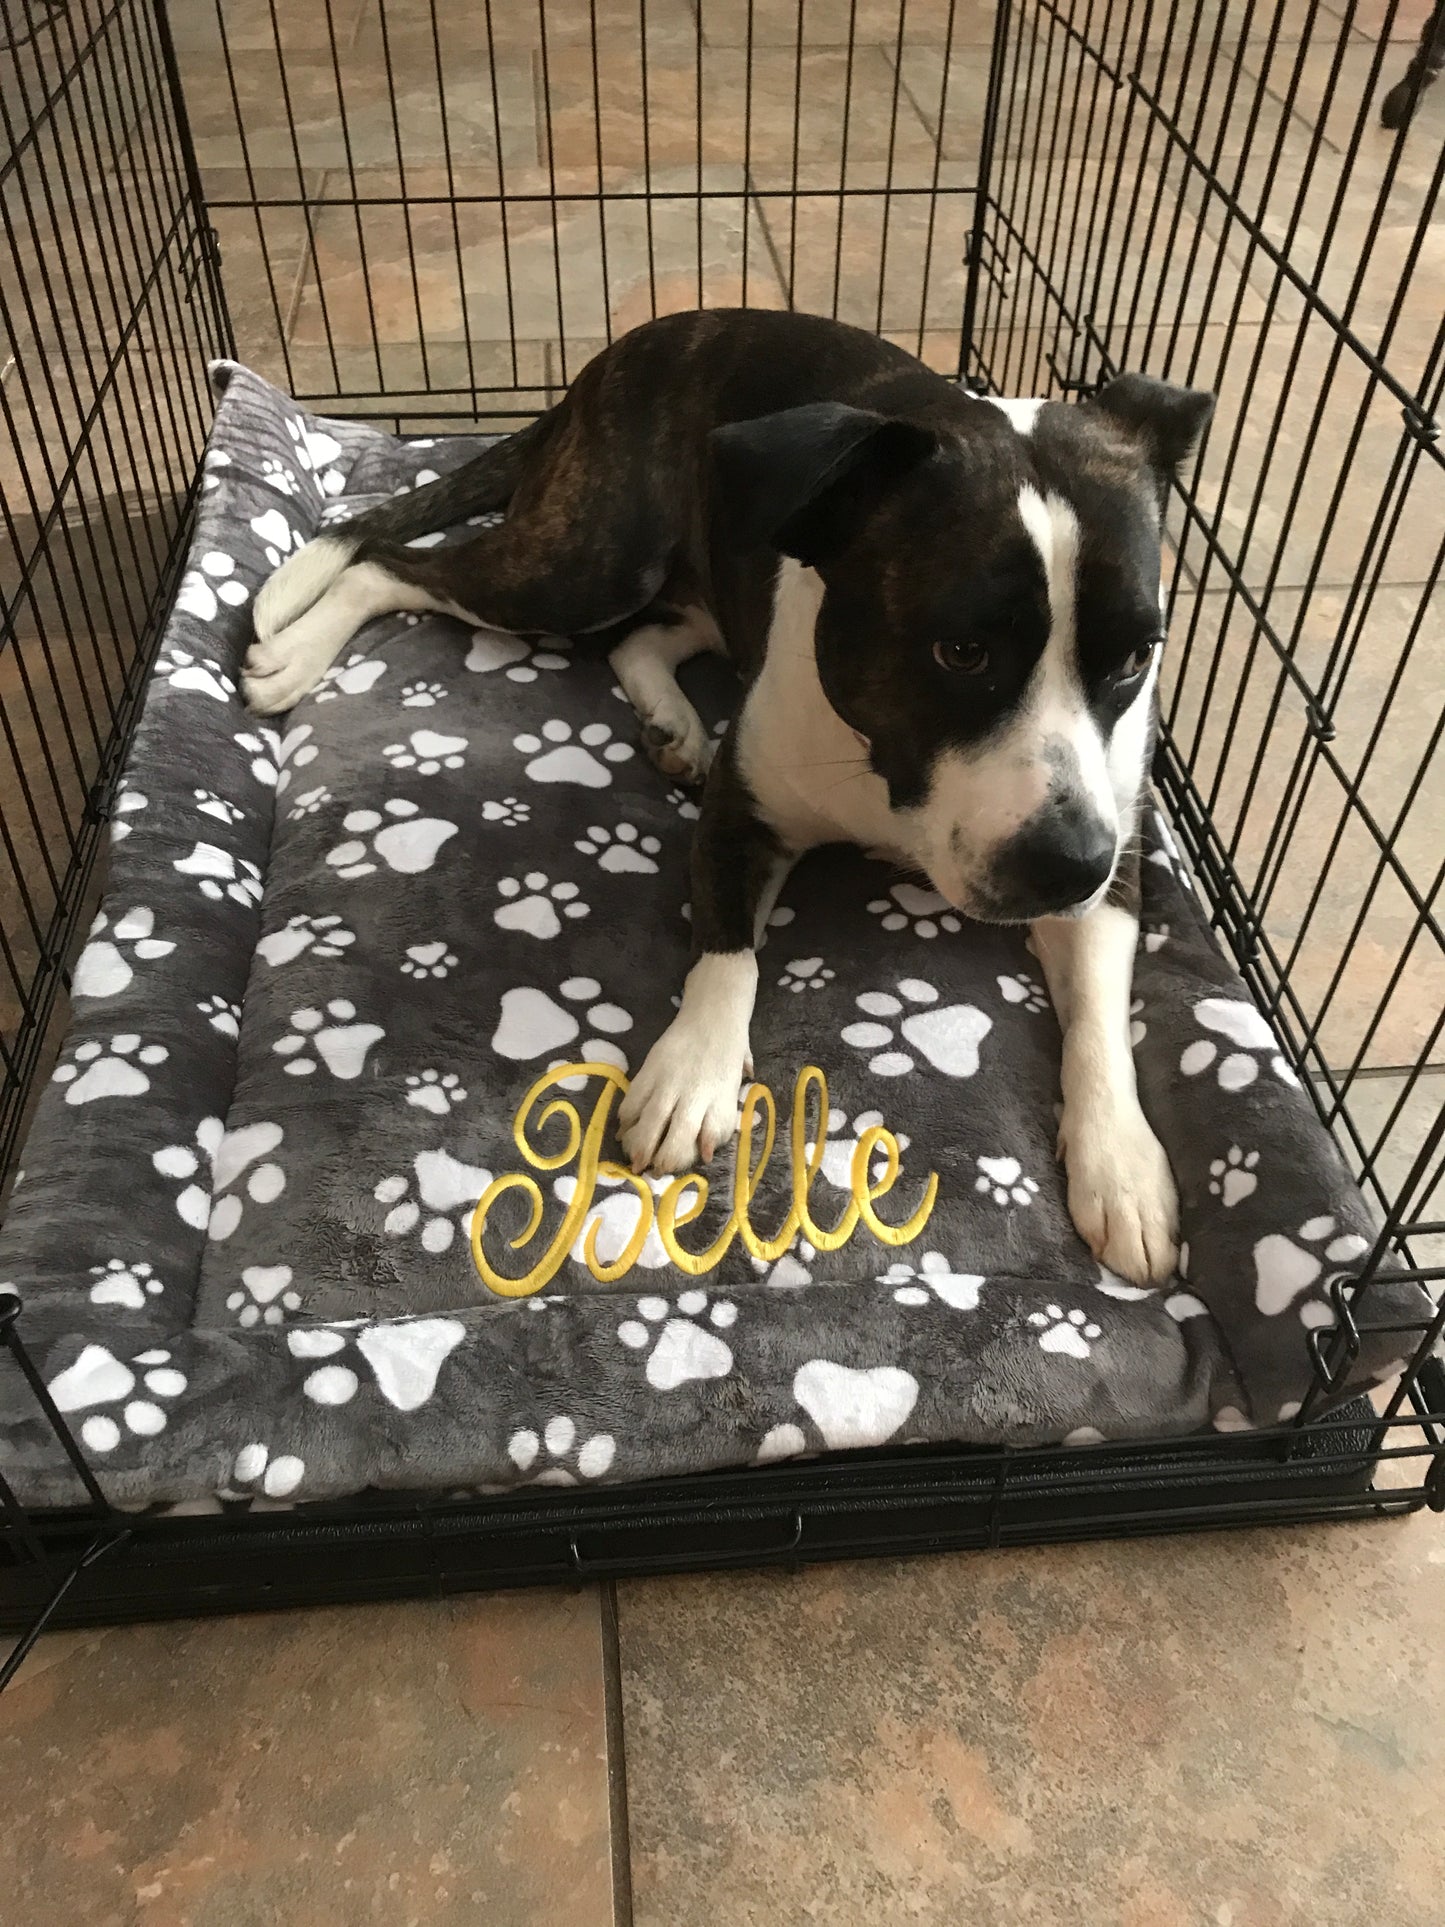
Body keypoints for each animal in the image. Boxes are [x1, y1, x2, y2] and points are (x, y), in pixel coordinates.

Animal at [246, 308, 1209, 1287]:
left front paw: (1122, 1164)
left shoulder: (1113, 867)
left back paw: (673, 721)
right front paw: (691, 1074)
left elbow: (1100, 1019)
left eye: (1137, 655)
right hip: (587, 562)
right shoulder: (740, 819)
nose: (1068, 864)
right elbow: (727, 950)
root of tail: (607, 364)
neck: (884, 774)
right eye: (961, 651)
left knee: (643, 636)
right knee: (391, 561)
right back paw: (298, 649)